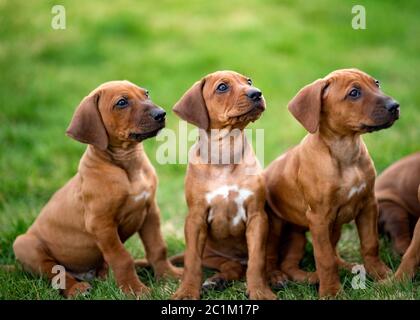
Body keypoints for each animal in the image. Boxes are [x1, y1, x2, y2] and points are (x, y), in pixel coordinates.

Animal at [12, 80, 180, 298]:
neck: (128, 164)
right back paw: (77, 288)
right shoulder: (101, 224)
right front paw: (135, 290)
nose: (161, 114)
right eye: (122, 102)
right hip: (24, 245)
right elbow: (122, 257)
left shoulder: (150, 210)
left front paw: (170, 276)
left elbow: (158, 248)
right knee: (55, 273)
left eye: (146, 93)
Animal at [171, 70, 276, 300]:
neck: (225, 153)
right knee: (230, 267)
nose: (257, 93)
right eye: (222, 87)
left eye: (249, 81)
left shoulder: (257, 216)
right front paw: (187, 291)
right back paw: (216, 280)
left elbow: (257, 261)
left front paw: (260, 291)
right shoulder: (195, 219)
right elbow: (192, 262)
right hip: (211, 254)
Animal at [264, 69, 398, 296]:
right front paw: (331, 292)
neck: (345, 151)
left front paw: (380, 273)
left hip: (305, 234)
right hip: (275, 226)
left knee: (292, 263)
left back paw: (332, 270)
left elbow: (370, 243)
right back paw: (277, 277)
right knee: (272, 259)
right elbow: (324, 258)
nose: (395, 105)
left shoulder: (368, 204)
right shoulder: (319, 218)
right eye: (354, 93)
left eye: (376, 83)